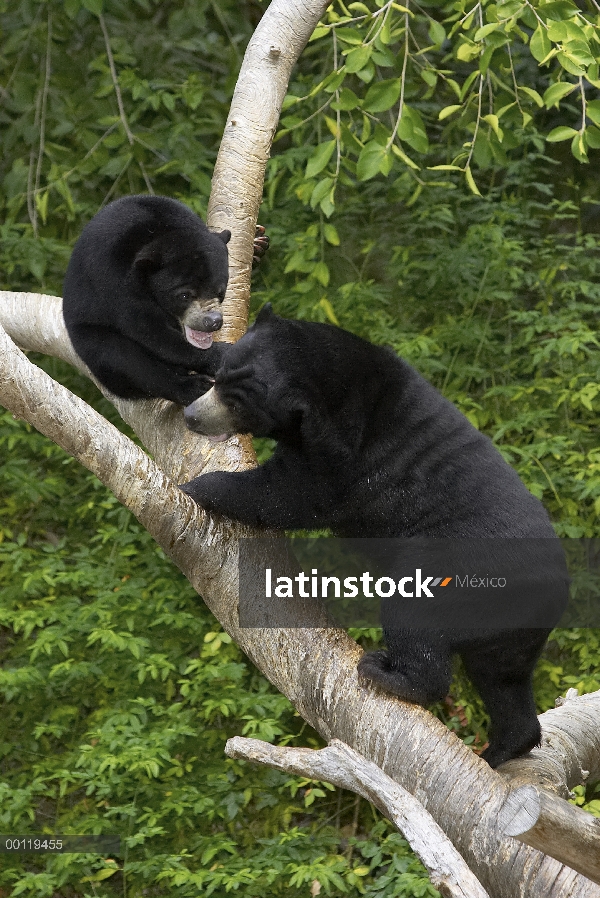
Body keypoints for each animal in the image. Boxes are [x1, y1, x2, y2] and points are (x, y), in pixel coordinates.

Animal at [62, 196, 268, 406]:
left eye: (220, 291)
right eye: (184, 295)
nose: (212, 321)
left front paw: (257, 245)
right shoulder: (114, 277)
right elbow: (149, 330)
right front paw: (222, 355)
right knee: (119, 356)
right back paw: (192, 387)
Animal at [180, 306, 568, 764]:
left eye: (238, 402)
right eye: (220, 379)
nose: (192, 416)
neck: (336, 378)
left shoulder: (342, 449)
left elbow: (290, 492)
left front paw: (198, 487)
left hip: (457, 566)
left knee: (417, 617)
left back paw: (391, 676)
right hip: (512, 631)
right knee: (503, 679)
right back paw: (505, 747)